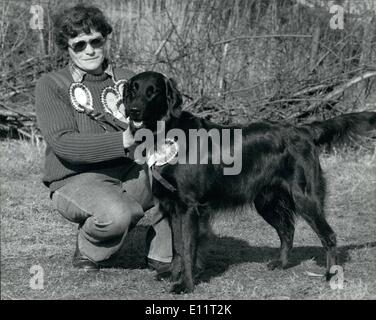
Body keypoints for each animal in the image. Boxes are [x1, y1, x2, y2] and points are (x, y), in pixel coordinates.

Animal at [124, 71, 376, 294]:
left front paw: (186, 284)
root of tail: (303, 130)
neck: (166, 134)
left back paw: (330, 275)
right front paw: (174, 275)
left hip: (305, 197)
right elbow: (176, 246)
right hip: (266, 200)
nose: (132, 110)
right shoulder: (173, 207)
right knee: (287, 230)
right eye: (133, 89)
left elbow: (187, 248)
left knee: (328, 235)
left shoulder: (189, 208)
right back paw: (281, 264)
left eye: (153, 91)